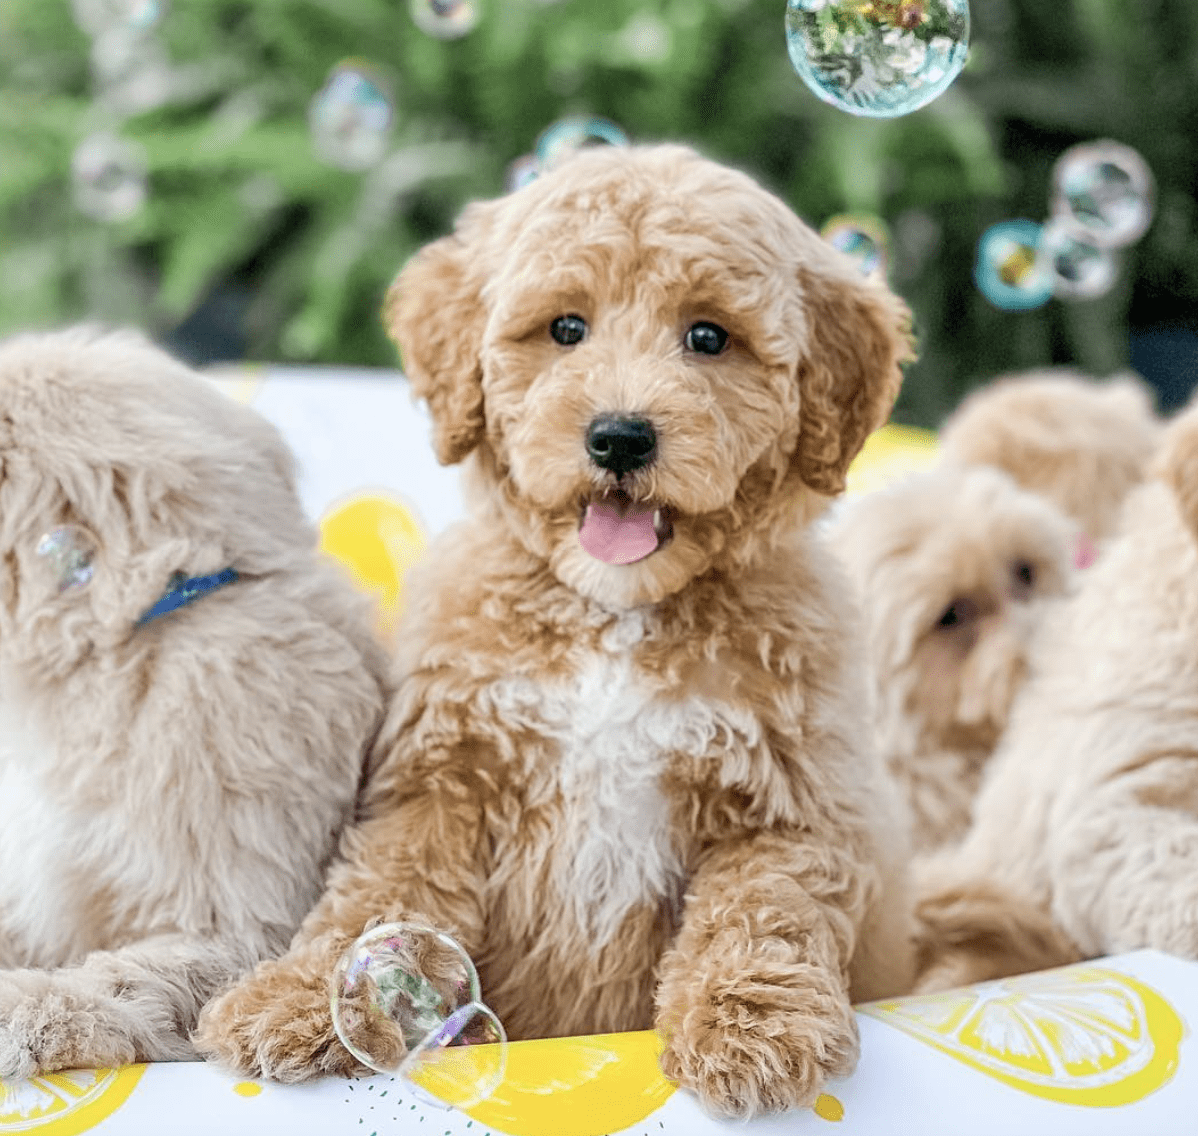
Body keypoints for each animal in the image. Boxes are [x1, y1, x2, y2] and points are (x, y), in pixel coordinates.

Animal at [198, 144, 915, 1116]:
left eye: (709, 337)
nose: (620, 438)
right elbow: (379, 893)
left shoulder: (790, 803)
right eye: (567, 329)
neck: (613, 615)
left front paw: (749, 1024)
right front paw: (305, 995)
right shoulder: (440, 780)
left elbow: (761, 912)